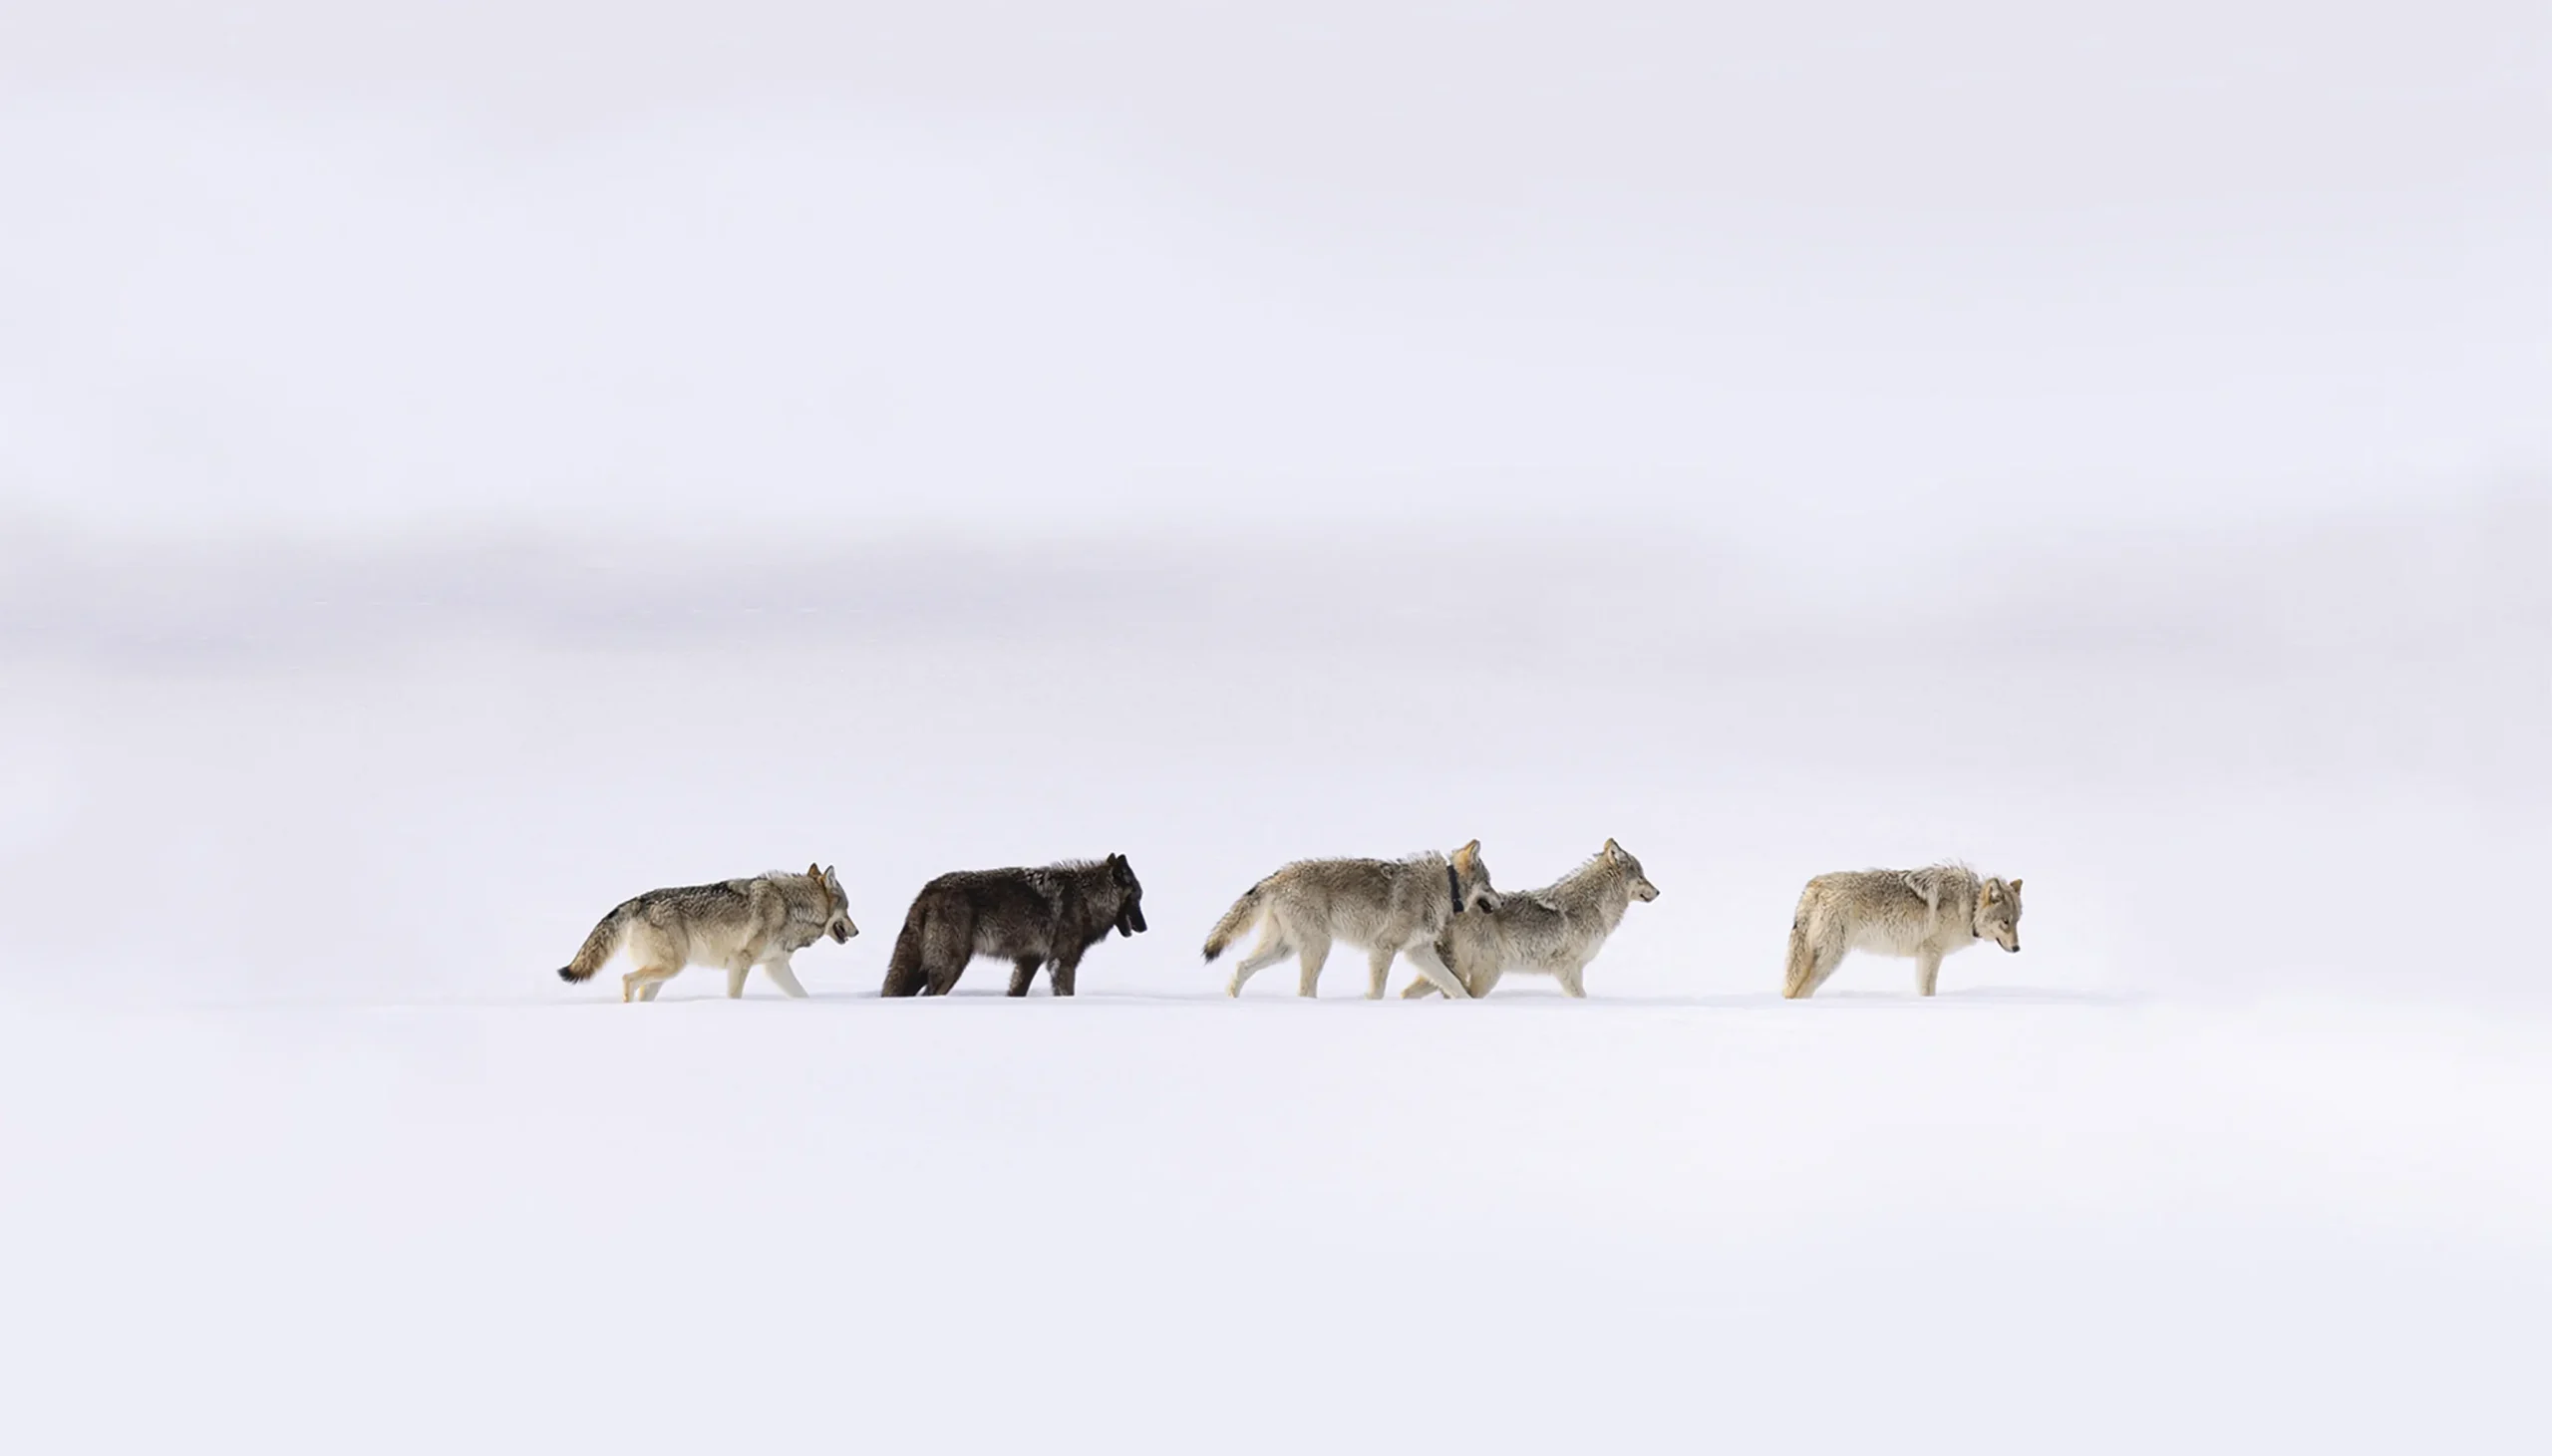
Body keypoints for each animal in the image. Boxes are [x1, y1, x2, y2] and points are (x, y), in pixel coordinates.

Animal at [556, 864, 858, 1003]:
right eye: (848, 908)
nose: (857, 931)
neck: (790, 905)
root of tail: (637, 900)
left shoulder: (776, 966)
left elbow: (801, 994)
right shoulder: (740, 961)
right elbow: (734, 995)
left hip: (663, 975)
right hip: (670, 967)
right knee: (627, 978)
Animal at [881, 854, 1146, 997]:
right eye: (1137, 898)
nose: (1145, 927)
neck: (1086, 897)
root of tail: (928, 891)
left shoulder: (1029, 960)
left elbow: (1017, 989)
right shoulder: (1062, 962)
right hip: (950, 967)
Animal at [1201, 841, 1498, 999]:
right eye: (1489, 884)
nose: (1501, 902)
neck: (1444, 887)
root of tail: (1277, 876)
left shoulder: (1418, 952)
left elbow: (1454, 983)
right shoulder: (1383, 948)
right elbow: (1377, 991)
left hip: (1284, 950)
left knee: (1241, 966)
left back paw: (1233, 999)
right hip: (1318, 947)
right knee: (1304, 989)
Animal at [1401, 838, 1659, 998]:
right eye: (1642, 876)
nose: (1657, 892)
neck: (1594, 906)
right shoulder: (1566, 968)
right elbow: (1580, 996)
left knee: (1409, 993)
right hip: (1488, 972)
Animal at [1781, 864, 2022, 999]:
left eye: (2017, 921)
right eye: (2005, 921)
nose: (2017, 948)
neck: (1969, 906)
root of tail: (1815, 886)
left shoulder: (1924, 956)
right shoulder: (1931, 953)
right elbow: (1928, 990)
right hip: (1830, 958)